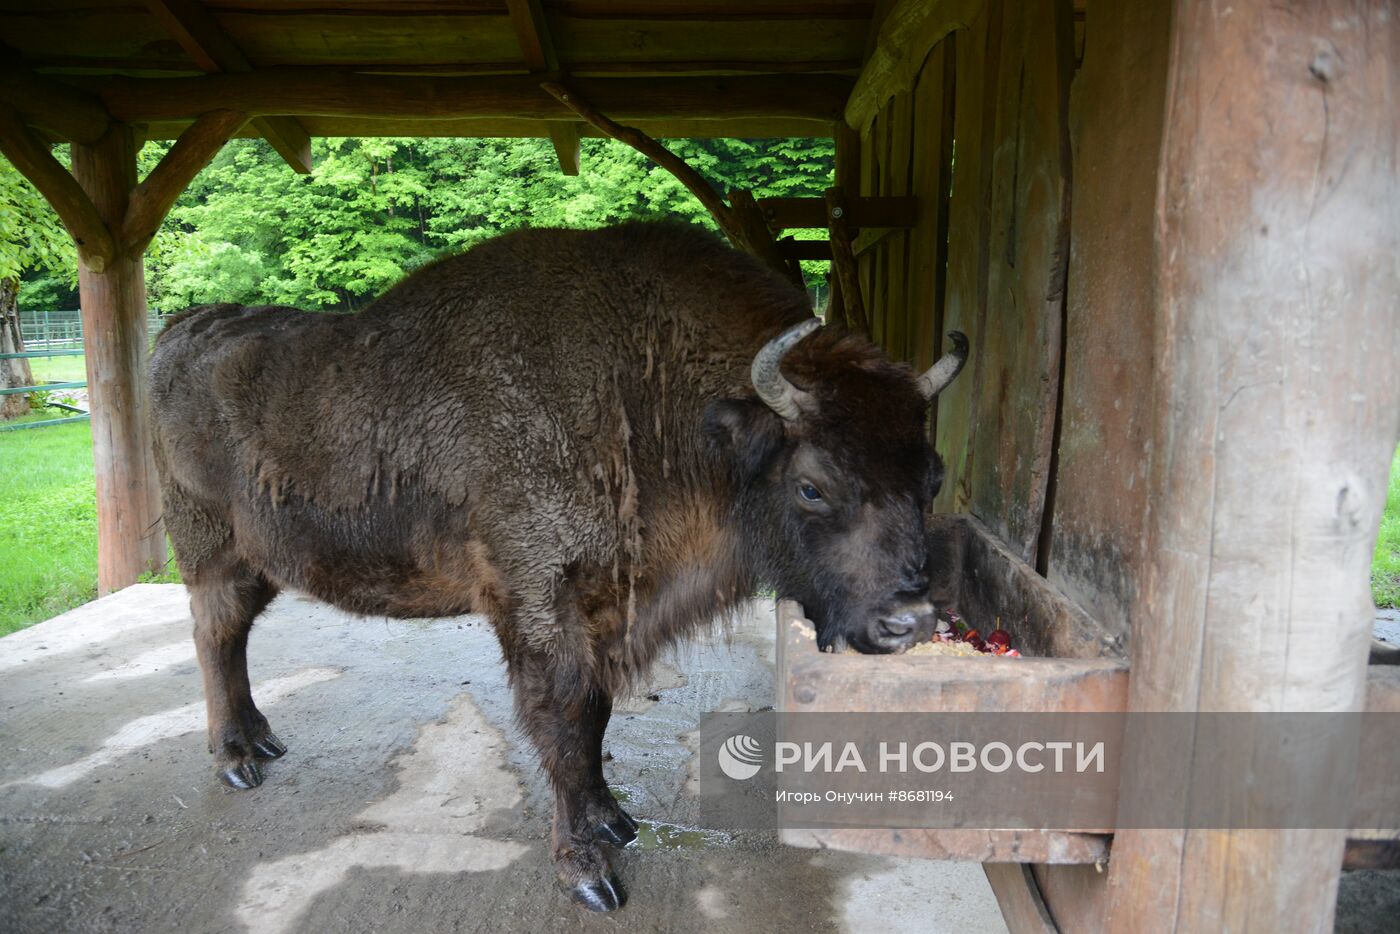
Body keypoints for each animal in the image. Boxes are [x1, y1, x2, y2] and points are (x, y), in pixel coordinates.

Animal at [150, 221, 963, 912]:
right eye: (812, 484)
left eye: (933, 476)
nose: (909, 620)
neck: (645, 392)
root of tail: (178, 331)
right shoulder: (542, 604)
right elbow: (564, 724)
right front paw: (588, 873)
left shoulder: (603, 611)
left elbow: (595, 717)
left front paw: (613, 820)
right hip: (209, 549)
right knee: (215, 636)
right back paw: (236, 760)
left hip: (256, 562)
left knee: (232, 637)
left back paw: (260, 741)